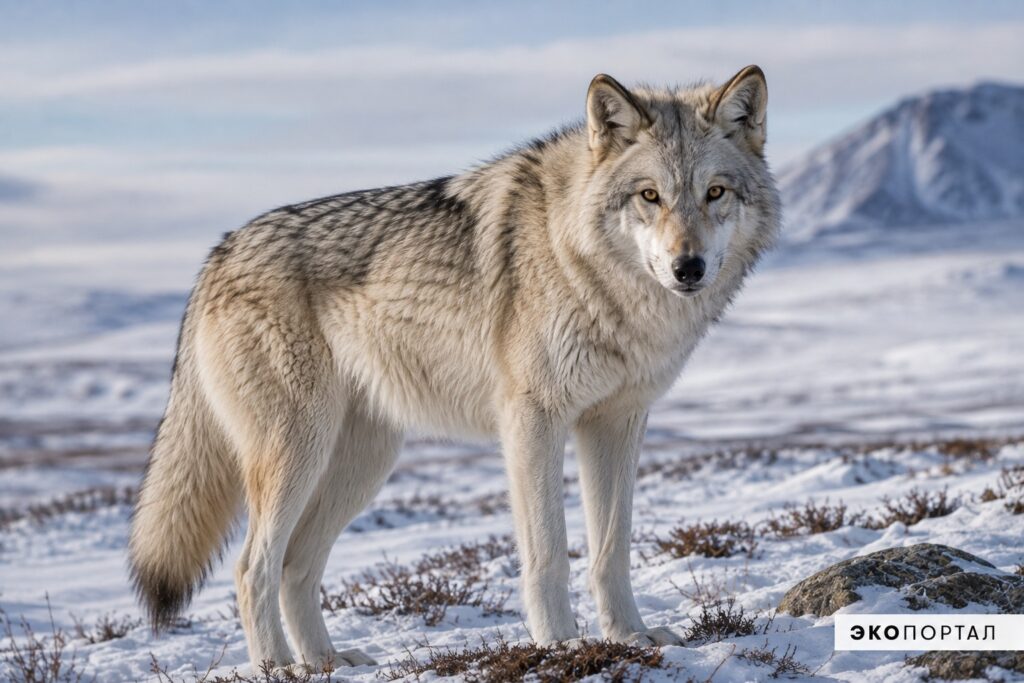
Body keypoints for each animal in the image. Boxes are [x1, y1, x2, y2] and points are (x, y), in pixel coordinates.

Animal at [129, 65, 780, 670]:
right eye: (649, 196)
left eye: (715, 193)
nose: (688, 267)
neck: (591, 270)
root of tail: (217, 255)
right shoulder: (533, 421)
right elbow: (549, 552)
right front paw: (561, 644)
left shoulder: (616, 422)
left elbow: (610, 551)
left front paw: (628, 636)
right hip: (299, 452)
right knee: (252, 567)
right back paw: (278, 667)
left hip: (362, 463)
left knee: (294, 566)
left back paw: (328, 663)